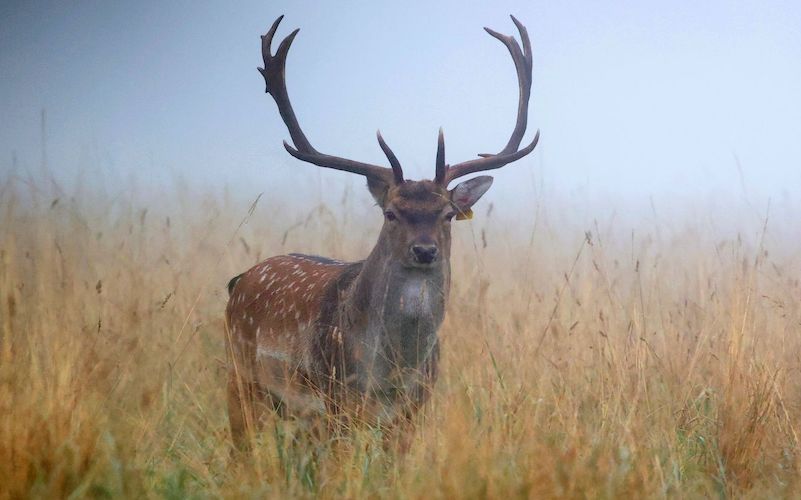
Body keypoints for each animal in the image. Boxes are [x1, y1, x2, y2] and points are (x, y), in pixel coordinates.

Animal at [225, 14, 539, 452]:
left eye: (447, 214)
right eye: (391, 213)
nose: (424, 250)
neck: (390, 373)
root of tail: (239, 280)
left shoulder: (412, 409)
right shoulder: (336, 399)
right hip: (242, 378)